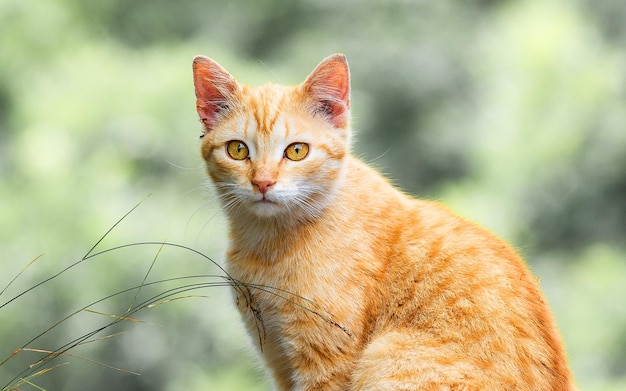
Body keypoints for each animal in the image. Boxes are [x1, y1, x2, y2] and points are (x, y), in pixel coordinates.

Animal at [191, 53, 576, 390]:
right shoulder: (278, 357)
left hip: (386, 355)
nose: (263, 183)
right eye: (238, 150)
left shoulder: (325, 361)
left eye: (297, 151)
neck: (267, 245)